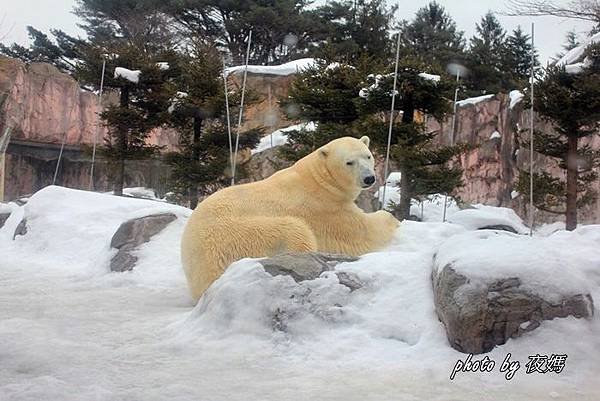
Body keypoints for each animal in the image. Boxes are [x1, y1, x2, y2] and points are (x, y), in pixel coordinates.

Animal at [180, 134, 400, 300]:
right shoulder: (325, 207)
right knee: (295, 230)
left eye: (368, 156)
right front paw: (392, 220)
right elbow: (362, 231)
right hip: (241, 234)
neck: (319, 179)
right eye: (349, 162)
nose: (369, 178)